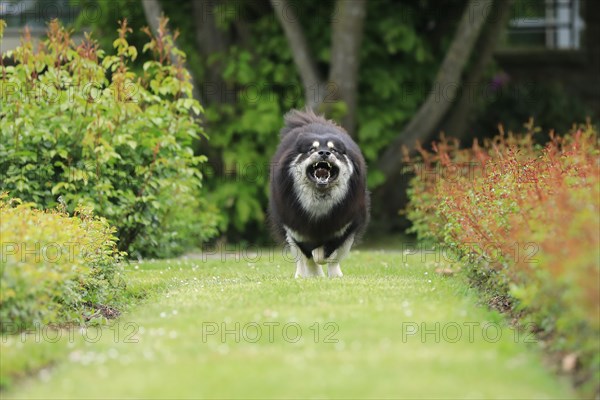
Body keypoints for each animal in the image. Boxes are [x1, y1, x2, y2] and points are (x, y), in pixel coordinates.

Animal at [268, 109, 370, 278]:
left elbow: (325, 253)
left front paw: (322, 263)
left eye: (334, 150)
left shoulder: (345, 227)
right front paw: (314, 274)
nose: (324, 153)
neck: (320, 201)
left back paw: (335, 274)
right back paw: (301, 275)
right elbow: (308, 256)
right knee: (300, 258)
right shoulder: (296, 230)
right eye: (311, 149)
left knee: (335, 258)